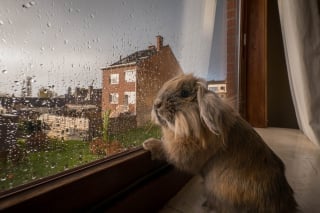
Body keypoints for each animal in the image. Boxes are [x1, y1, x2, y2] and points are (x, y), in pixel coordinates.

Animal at [142, 74, 298, 212]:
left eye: (184, 93)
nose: (156, 104)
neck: (199, 124)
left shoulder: (185, 153)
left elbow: (167, 151)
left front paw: (149, 143)